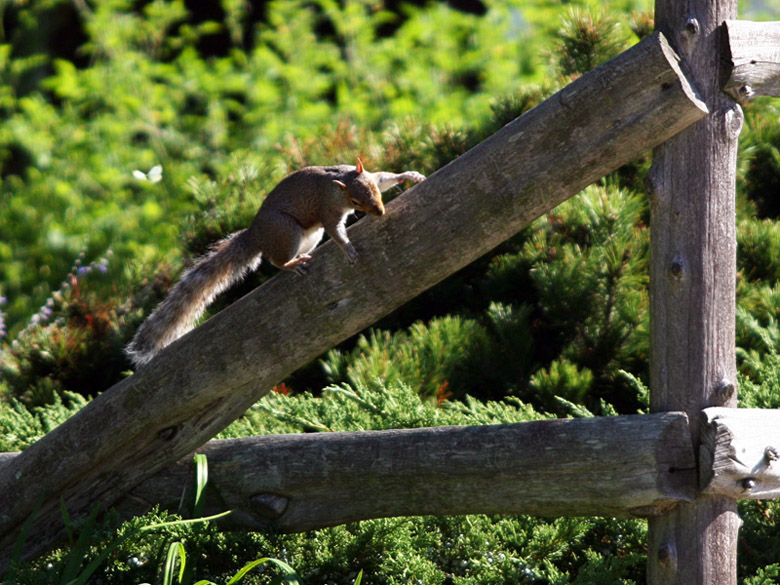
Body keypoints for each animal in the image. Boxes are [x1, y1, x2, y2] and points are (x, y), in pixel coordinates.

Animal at [125, 157, 426, 368]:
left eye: (373, 189)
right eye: (354, 200)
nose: (380, 212)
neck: (339, 181)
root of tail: (256, 235)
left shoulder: (372, 175)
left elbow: (388, 177)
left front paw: (410, 175)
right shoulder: (328, 210)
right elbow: (336, 231)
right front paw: (348, 249)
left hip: (309, 236)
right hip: (286, 231)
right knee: (275, 261)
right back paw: (292, 265)